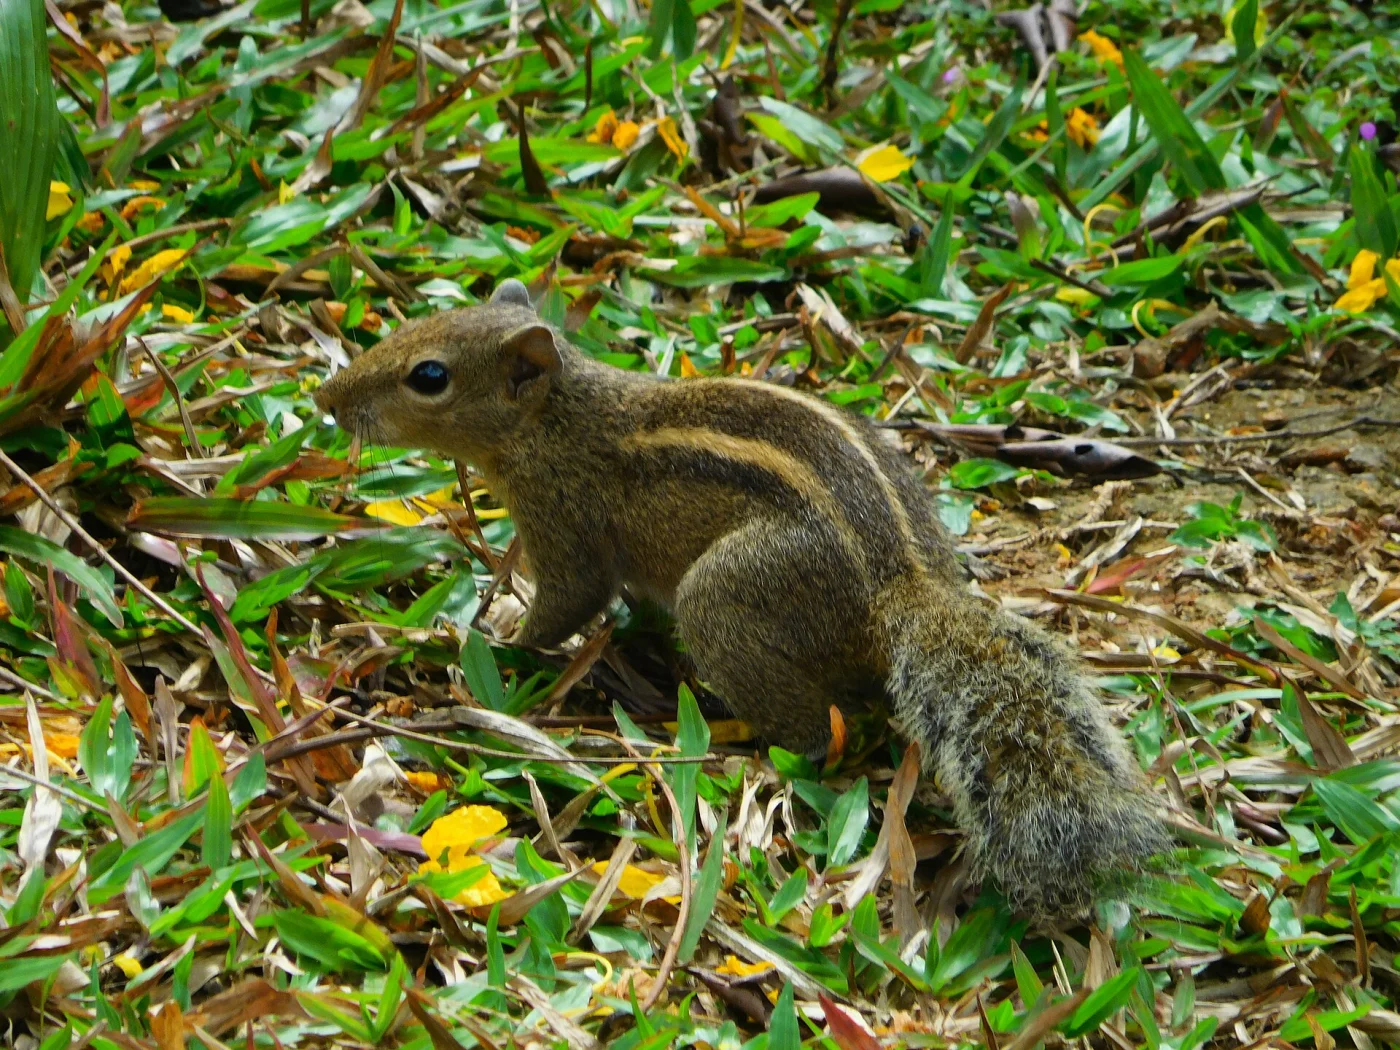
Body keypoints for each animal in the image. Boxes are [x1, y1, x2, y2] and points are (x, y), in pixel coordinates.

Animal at [314, 280, 1169, 918]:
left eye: (430, 376)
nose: (327, 396)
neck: (562, 417)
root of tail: (904, 588)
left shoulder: (567, 523)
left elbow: (564, 604)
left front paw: (484, 647)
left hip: (727, 598)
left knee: (818, 730)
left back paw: (727, 746)